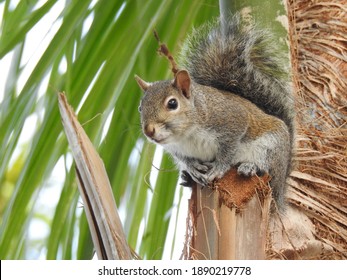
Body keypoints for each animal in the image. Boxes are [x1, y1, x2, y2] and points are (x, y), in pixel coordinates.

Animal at [135, 15, 294, 210]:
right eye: (140, 107)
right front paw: (192, 168)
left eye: (172, 103)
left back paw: (251, 167)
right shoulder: (176, 149)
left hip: (272, 147)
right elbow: (185, 159)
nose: (149, 131)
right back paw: (187, 179)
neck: (186, 135)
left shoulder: (232, 119)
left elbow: (228, 149)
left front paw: (219, 167)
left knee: (268, 170)